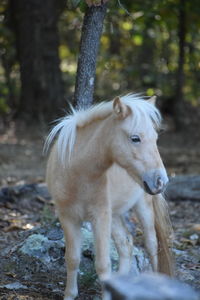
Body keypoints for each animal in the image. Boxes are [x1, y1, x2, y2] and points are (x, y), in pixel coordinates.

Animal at [44, 94, 173, 300]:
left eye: (155, 139)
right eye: (135, 138)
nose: (161, 181)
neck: (76, 173)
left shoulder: (100, 216)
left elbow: (103, 265)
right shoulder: (68, 217)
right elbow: (72, 259)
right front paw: (69, 295)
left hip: (142, 207)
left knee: (152, 245)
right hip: (116, 215)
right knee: (125, 244)